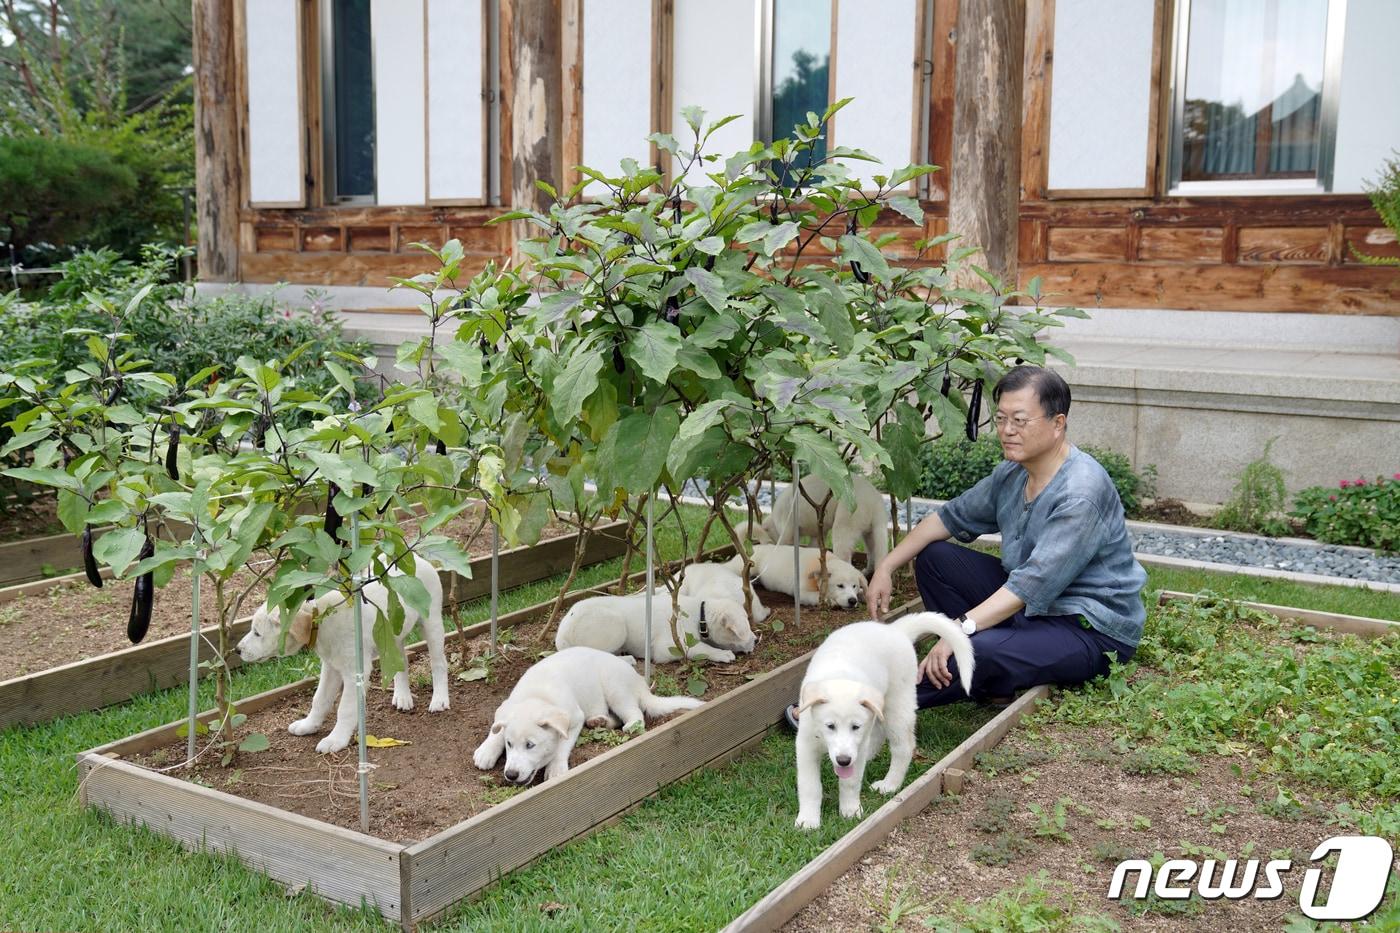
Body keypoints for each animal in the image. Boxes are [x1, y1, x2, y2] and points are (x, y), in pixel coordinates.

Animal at [236, 554, 448, 750]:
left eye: (257, 633)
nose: (237, 650)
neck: (321, 619)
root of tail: (417, 558)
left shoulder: (354, 672)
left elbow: (344, 709)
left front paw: (335, 740)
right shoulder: (330, 667)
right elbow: (319, 699)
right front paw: (308, 725)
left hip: (432, 623)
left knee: (438, 663)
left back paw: (439, 699)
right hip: (392, 635)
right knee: (401, 661)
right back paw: (403, 696)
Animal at [476, 647, 705, 784]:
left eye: (530, 745)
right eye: (509, 745)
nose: (510, 774)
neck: (537, 695)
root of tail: (639, 681)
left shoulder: (574, 717)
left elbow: (562, 745)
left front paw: (556, 768)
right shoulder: (507, 707)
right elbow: (497, 728)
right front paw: (486, 751)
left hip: (616, 689)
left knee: (635, 713)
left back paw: (630, 725)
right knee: (613, 716)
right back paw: (598, 721)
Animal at [554, 591, 756, 658]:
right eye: (744, 629)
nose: (757, 640)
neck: (700, 613)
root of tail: (561, 636)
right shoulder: (669, 647)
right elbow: (700, 649)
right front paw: (722, 654)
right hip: (616, 626)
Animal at [728, 540, 868, 607]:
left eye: (854, 586)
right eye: (840, 586)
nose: (852, 601)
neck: (825, 562)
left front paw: (864, 595)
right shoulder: (802, 593)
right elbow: (816, 596)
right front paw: (830, 600)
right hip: (745, 566)